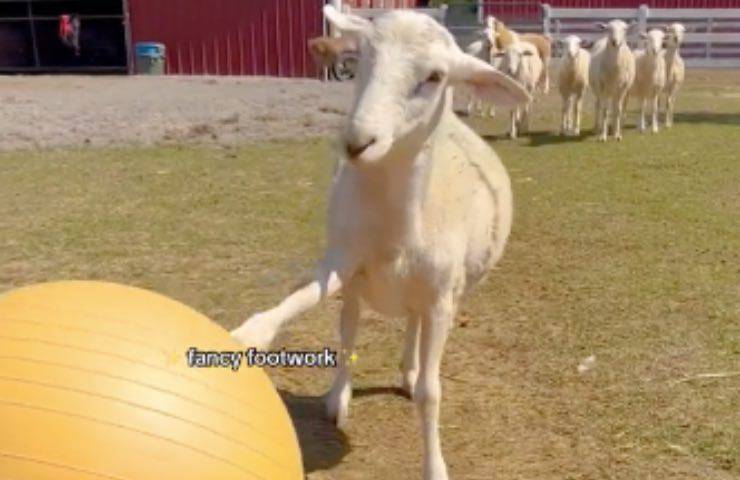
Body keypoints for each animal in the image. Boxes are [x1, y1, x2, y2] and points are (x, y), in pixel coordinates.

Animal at [231, 5, 530, 480]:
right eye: (360, 58)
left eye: (435, 76)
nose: (357, 142)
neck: (396, 230)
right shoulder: (344, 260)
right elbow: (303, 300)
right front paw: (250, 334)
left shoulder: (441, 297)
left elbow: (431, 392)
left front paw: (435, 465)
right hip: (359, 285)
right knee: (351, 327)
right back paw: (340, 396)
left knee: (412, 328)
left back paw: (408, 370)